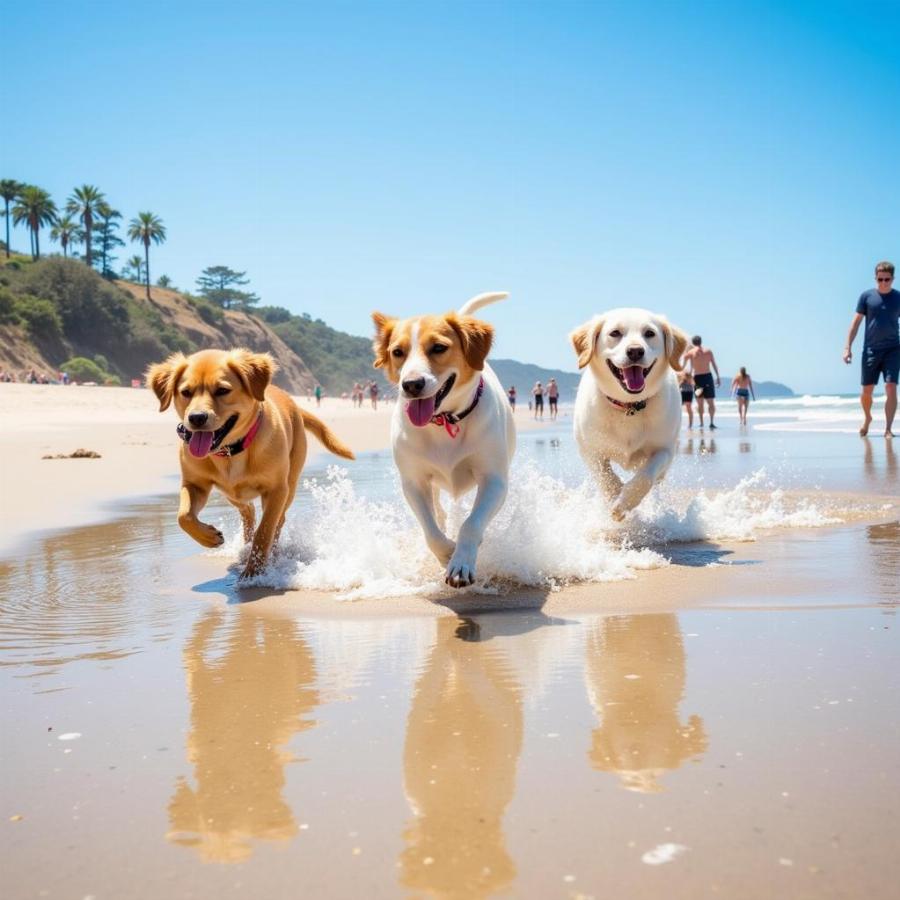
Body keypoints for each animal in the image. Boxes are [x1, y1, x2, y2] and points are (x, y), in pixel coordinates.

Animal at [146, 348, 354, 580]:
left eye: (222, 390)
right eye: (186, 392)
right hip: (232, 494)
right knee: (248, 512)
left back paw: (271, 552)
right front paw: (210, 537)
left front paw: (255, 571)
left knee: (278, 521)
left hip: (289, 486)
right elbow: (183, 516)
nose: (196, 418)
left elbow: (265, 530)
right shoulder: (194, 484)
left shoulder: (276, 490)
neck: (230, 452)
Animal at [370, 292, 512, 588]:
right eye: (397, 352)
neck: (444, 421)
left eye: (438, 347)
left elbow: (471, 524)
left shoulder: (494, 480)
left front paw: (461, 562)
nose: (411, 384)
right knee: (438, 513)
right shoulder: (413, 482)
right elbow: (431, 531)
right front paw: (447, 552)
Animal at [568, 310, 688, 520]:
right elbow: (606, 478)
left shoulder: (665, 450)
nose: (635, 351)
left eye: (649, 333)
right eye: (615, 333)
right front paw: (615, 495)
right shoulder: (590, 450)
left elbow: (646, 477)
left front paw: (624, 502)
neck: (629, 406)